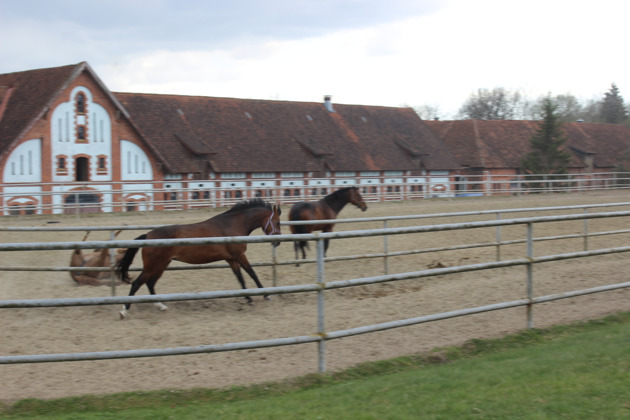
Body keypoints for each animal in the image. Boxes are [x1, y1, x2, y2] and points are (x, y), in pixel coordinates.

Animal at [115, 199, 282, 318]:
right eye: (278, 222)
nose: (278, 242)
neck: (232, 225)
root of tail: (148, 235)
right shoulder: (239, 256)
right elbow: (252, 273)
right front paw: (266, 295)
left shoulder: (231, 259)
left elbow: (241, 278)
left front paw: (249, 299)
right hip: (153, 266)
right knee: (137, 283)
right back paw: (124, 311)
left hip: (162, 264)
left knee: (150, 283)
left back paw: (161, 306)